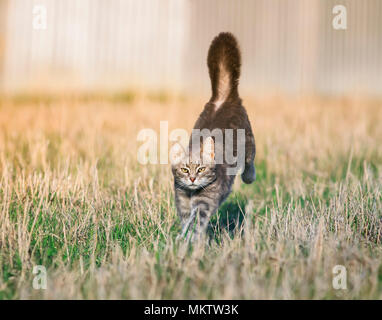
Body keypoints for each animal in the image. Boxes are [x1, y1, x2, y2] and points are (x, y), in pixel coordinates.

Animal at [171, 33, 255, 242]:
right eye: (184, 169)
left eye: (201, 169)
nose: (192, 178)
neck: (191, 193)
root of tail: (222, 98)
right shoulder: (182, 204)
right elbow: (186, 223)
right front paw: (183, 240)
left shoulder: (205, 204)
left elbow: (197, 224)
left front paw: (194, 241)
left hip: (249, 139)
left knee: (250, 160)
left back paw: (249, 176)